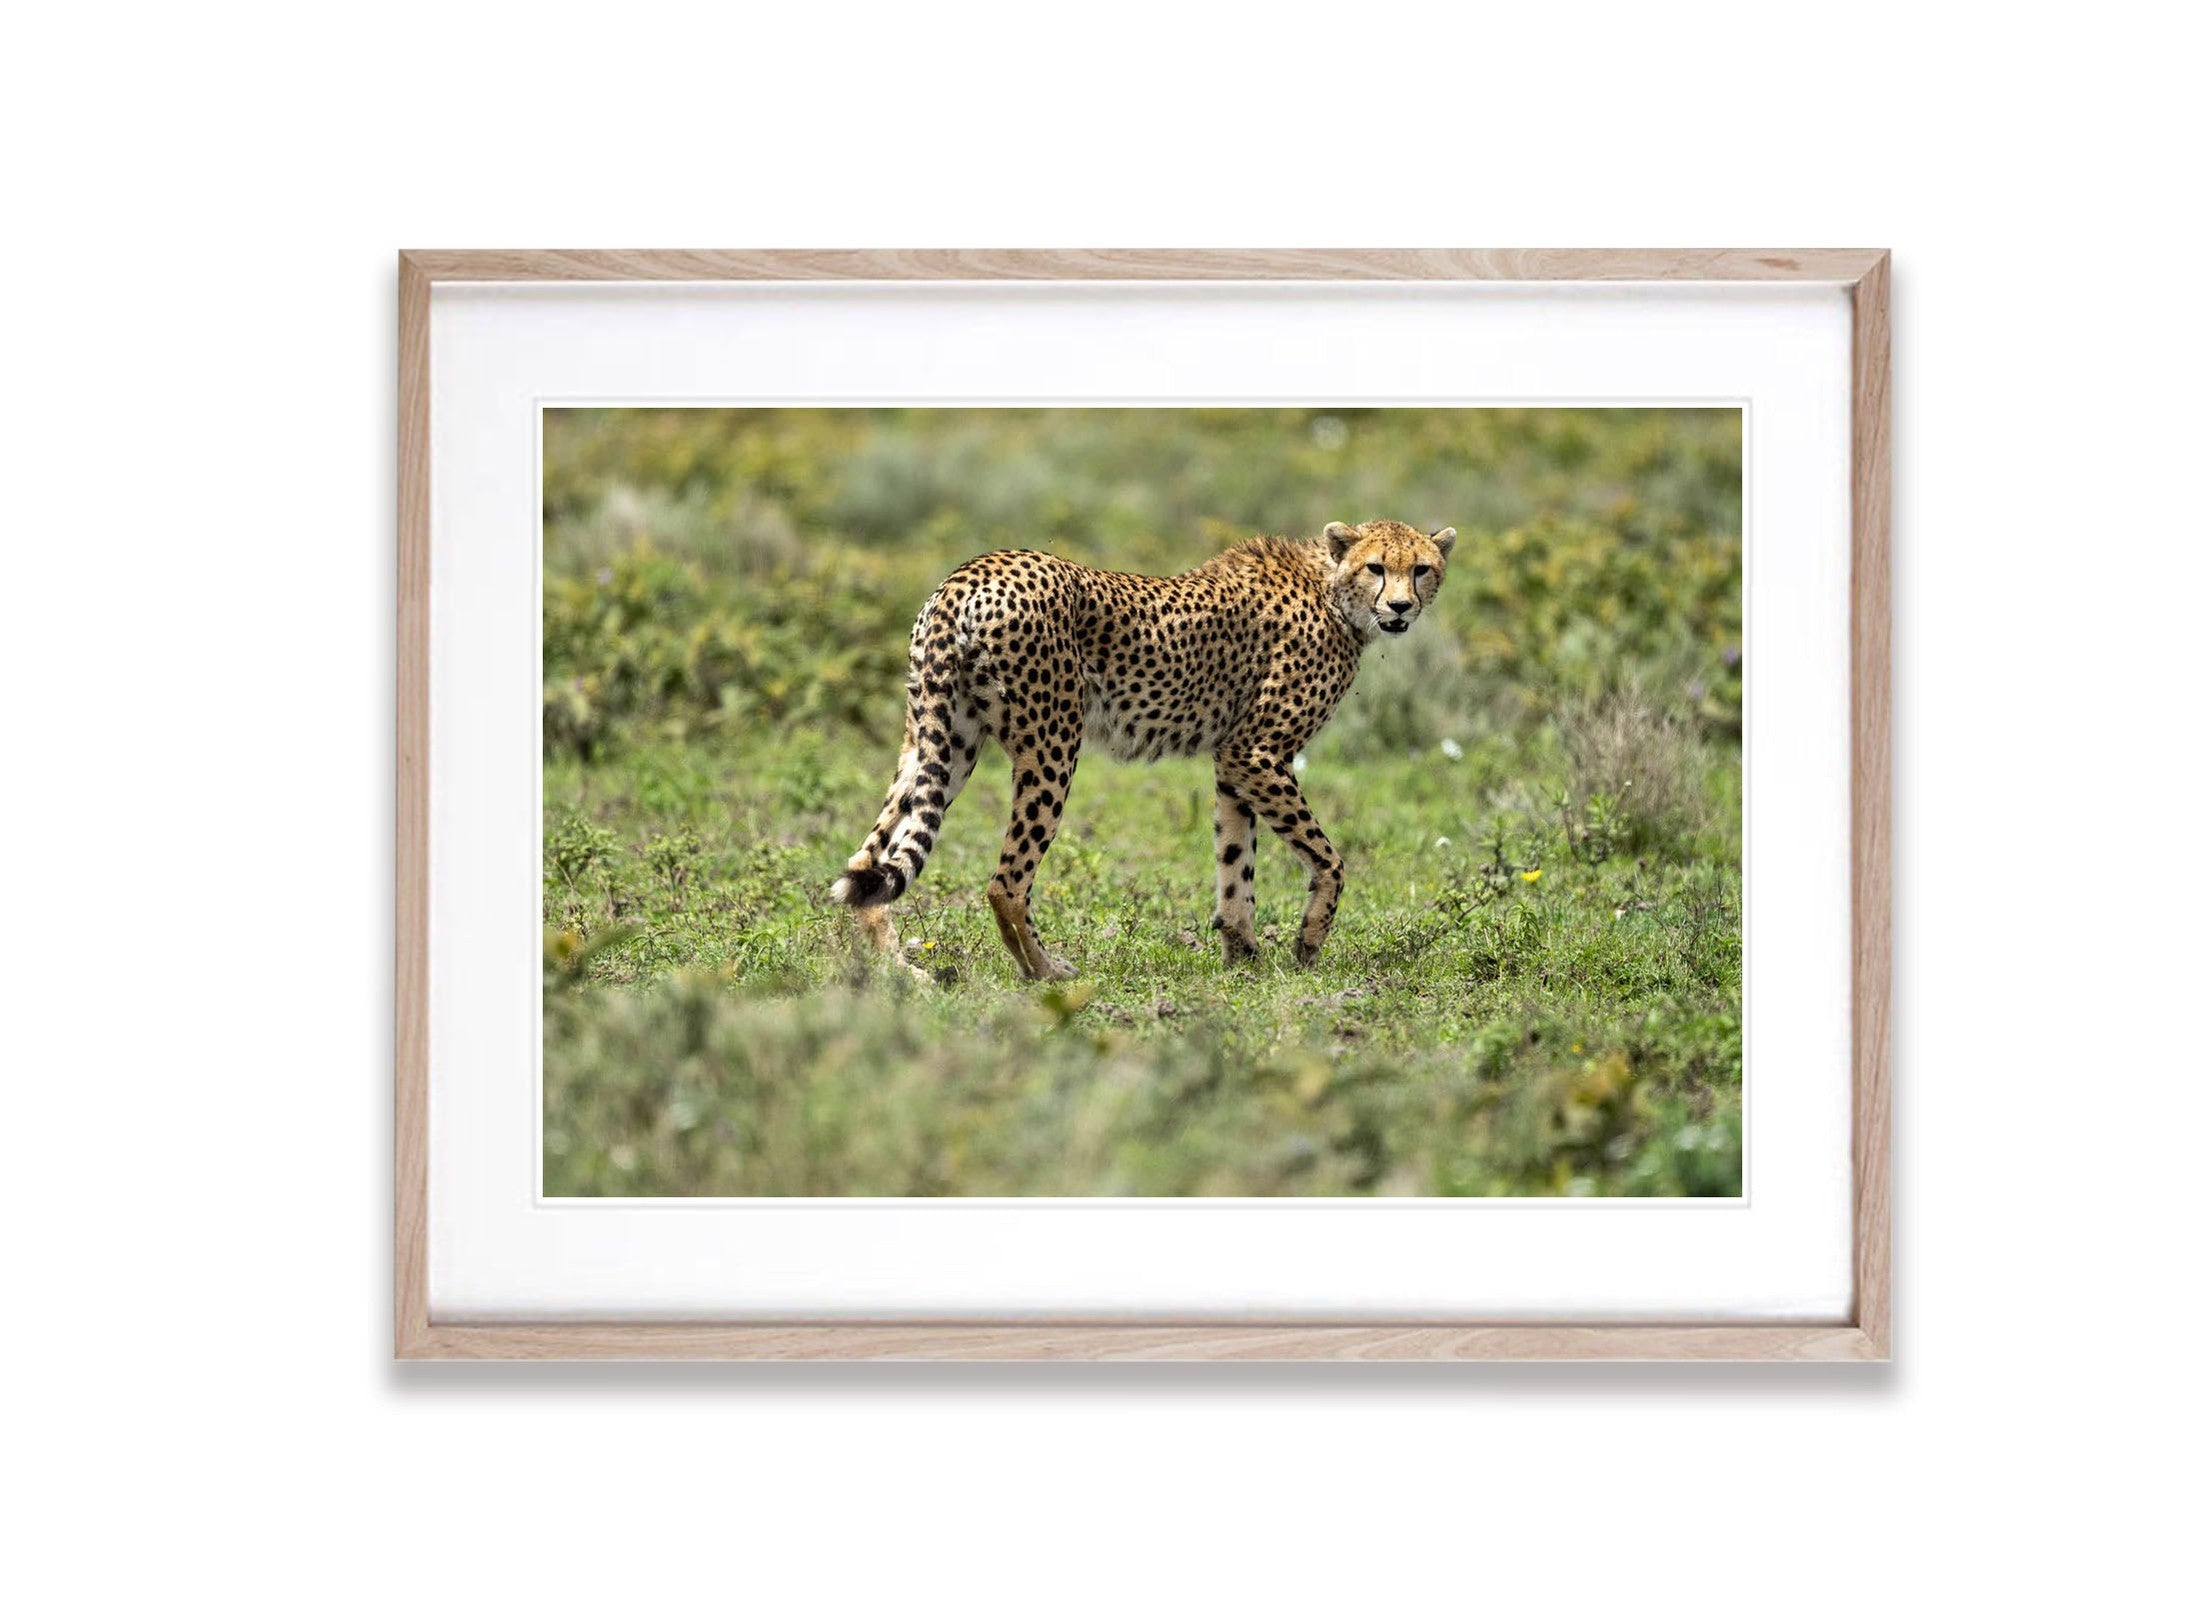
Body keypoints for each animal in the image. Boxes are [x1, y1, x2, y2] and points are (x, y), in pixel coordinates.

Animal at [831, 519, 1451, 980]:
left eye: (1421, 569)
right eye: (1376, 567)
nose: (1400, 607)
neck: (1332, 589)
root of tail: (975, 569)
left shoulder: (1233, 762)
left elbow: (1235, 859)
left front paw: (1243, 957)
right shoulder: (1256, 752)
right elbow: (1329, 858)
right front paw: (1307, 943)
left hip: (942, 742)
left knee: (870, 859)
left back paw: (899, 971)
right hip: (1052, 744)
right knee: (1005, 883)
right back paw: (1045, 972)